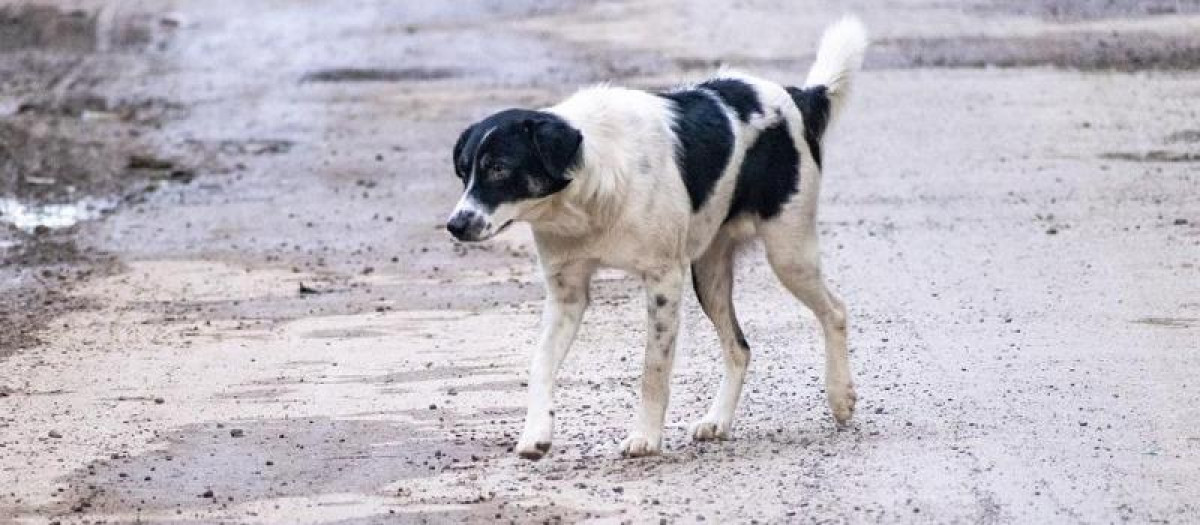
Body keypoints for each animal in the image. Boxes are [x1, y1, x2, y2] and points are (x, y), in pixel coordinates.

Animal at [446, 16, 868, 460]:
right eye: (463, 171)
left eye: (498, 168)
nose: (455, 225)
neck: (587, 191)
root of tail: (797, 96)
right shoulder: (567, 294)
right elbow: (540, 362)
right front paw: (536, 433)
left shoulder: (664, 280)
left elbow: (654, 368)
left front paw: (645, 436)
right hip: (709, 273)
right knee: (739, 347)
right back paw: (718, 419)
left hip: (788, 252)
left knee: (835, 311)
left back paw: (840, 396)